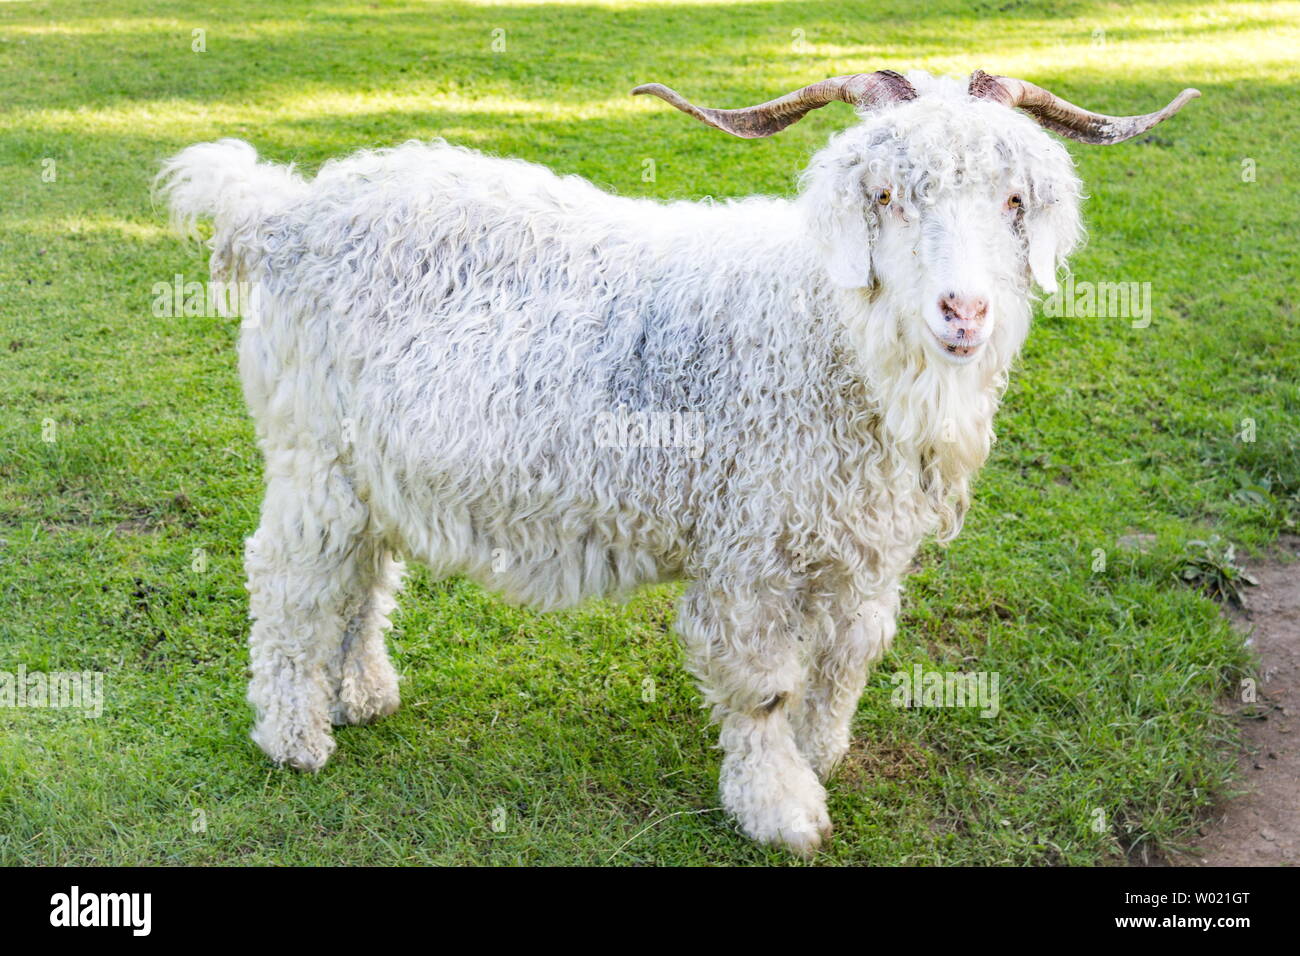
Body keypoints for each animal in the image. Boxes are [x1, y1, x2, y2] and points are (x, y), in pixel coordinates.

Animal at [158, 69, 1197, 855]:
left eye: (1013, 201)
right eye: (887, 196)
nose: (963, 311)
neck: (820, 330)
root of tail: (284, 213)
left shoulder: (862, 548)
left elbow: (848, 659)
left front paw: (820, 754)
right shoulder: (750, 552)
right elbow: (766, 684)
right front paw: (783, 809)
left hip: (374, 469)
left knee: (362, 574)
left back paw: (361, 693)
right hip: (312, 455)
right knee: (290, 578)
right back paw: (294, 735)